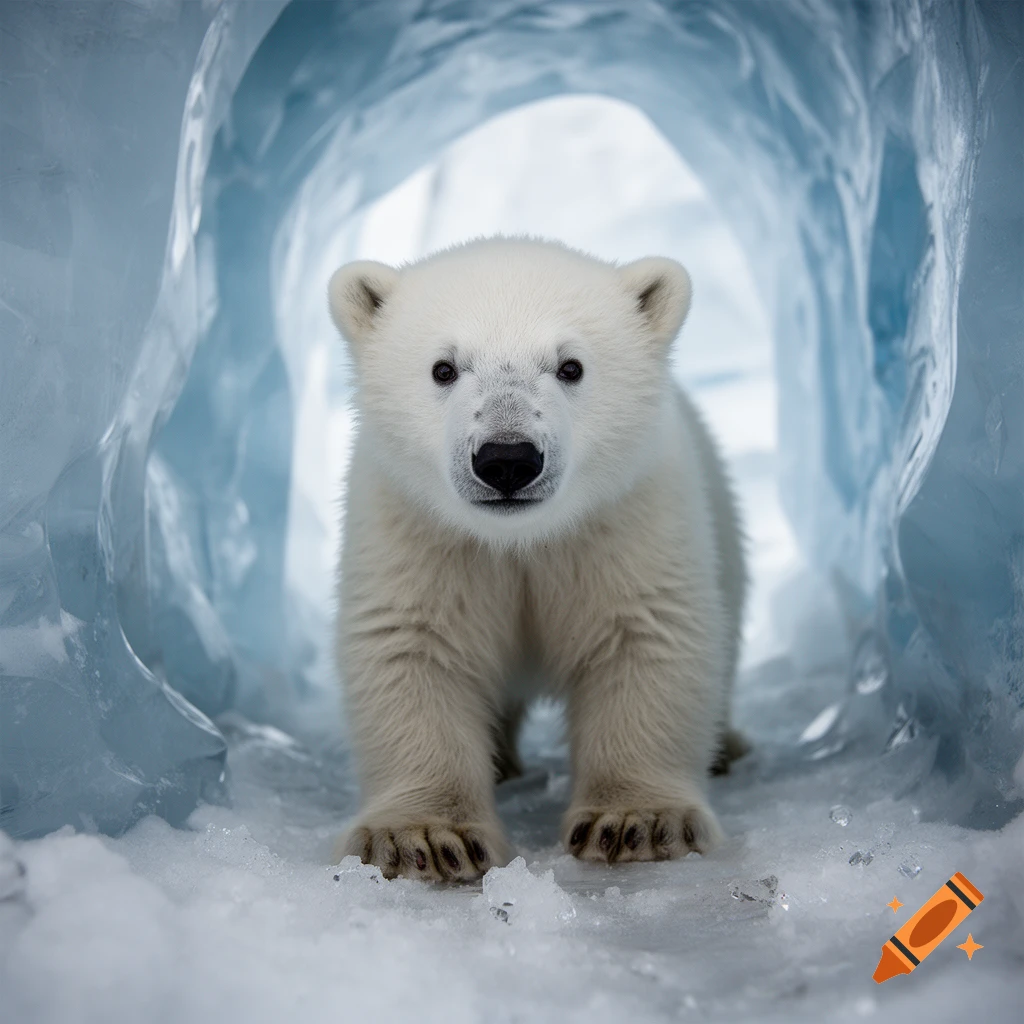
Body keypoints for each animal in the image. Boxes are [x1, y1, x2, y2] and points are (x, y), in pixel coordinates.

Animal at [327, 237, 746, 881]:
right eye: (443, 368)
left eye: (571, 366)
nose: (507, 459)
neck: (519, 541)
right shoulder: (417, 532)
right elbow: (413, 648)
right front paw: (423, 836)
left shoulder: (626, 520)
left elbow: (645, 638)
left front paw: (638, 821)